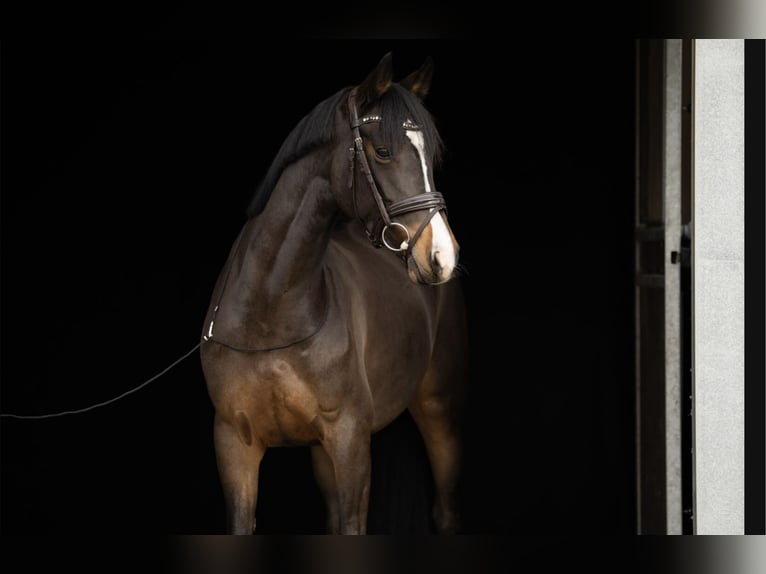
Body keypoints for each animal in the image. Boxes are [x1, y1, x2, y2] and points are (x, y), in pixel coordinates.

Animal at [199, 52, 468, 535]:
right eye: (383, 151)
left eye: (431, 156)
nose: (442, 255)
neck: (270, 312)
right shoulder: (233, 445)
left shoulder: (350, 442)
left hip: (442, 408)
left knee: (447, 508)